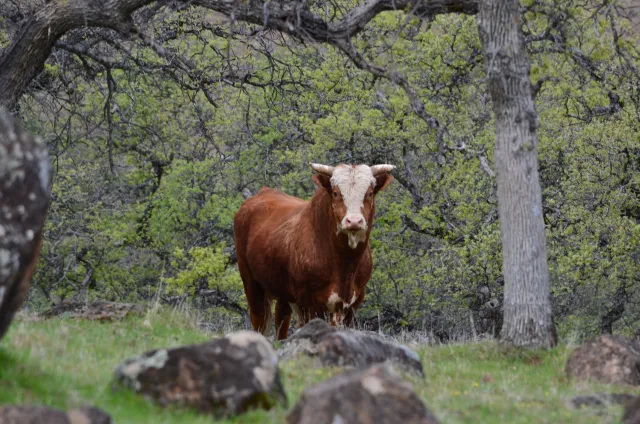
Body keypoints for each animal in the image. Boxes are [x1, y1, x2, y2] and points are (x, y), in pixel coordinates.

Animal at [233, 162, 395, 340]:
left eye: (370, 193)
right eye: (336, 193)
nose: (354, 221)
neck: (344, 265)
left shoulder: (354, 302)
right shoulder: (309, 302)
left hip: (283, 291)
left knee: (281, 321)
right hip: (250, 280)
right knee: (259, 319)